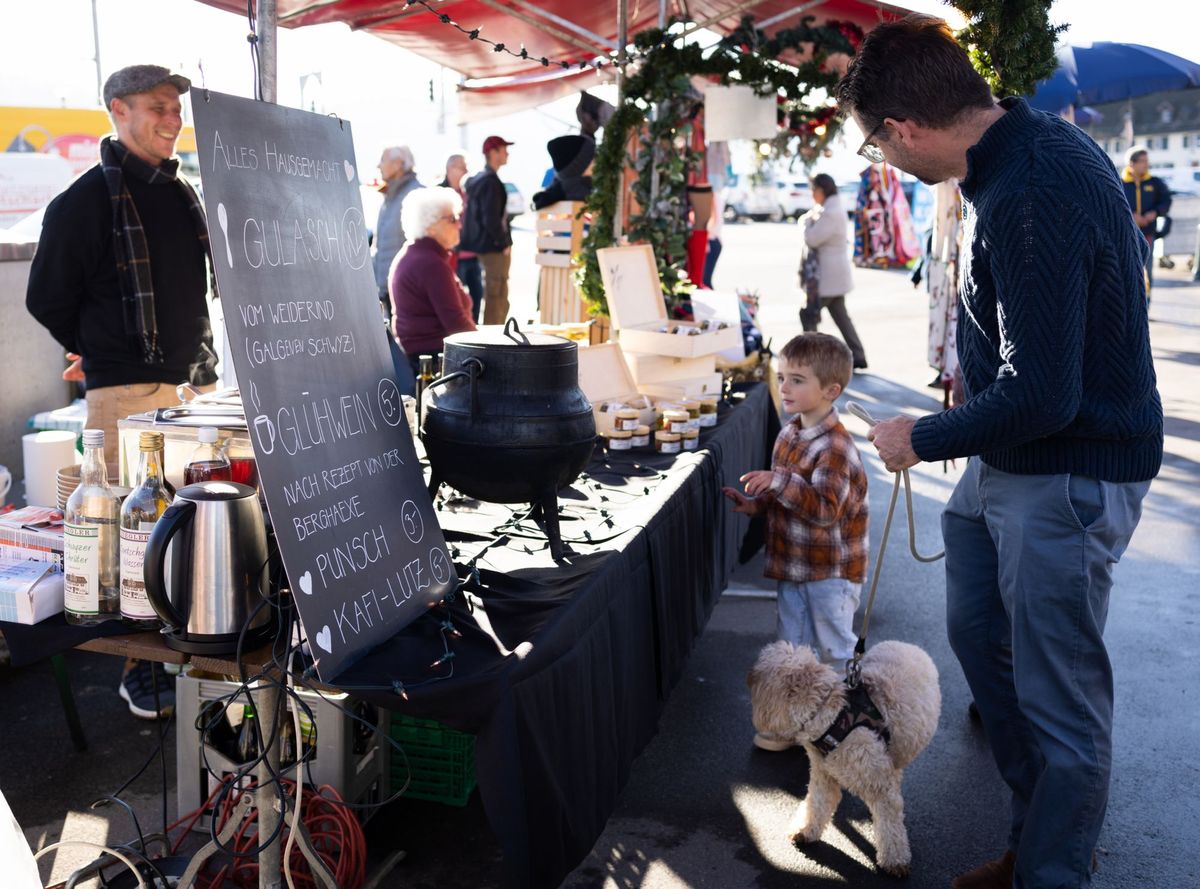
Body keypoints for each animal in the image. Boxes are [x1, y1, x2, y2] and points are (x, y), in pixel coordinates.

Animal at [748, 638, 936, 873]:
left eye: (757, 676)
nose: (747, 675)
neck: (833, 716)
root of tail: (906, 644)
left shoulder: (881, 788)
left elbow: (890, 826)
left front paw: (895, 860)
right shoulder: (823, 774)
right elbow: (816, 804)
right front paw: (805, 830)